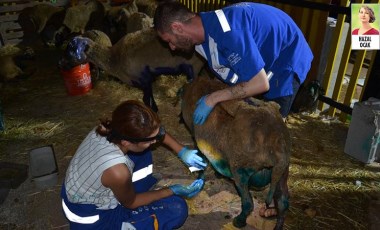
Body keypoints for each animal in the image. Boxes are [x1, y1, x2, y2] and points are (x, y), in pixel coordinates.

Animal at [59, 28, 205, 111]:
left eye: (71, 48)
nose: (60, 63)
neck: (114, 58)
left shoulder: (144, 78)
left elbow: (147, 101)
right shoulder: (145, 80)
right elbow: (147, 100)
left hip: (194, 66)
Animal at [181, 75, 290, 228]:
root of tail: (278, 145)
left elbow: (202, 160)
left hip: (241, 170)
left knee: (249, 203)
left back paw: (239, 221)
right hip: (283, 174)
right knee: (282, 203)